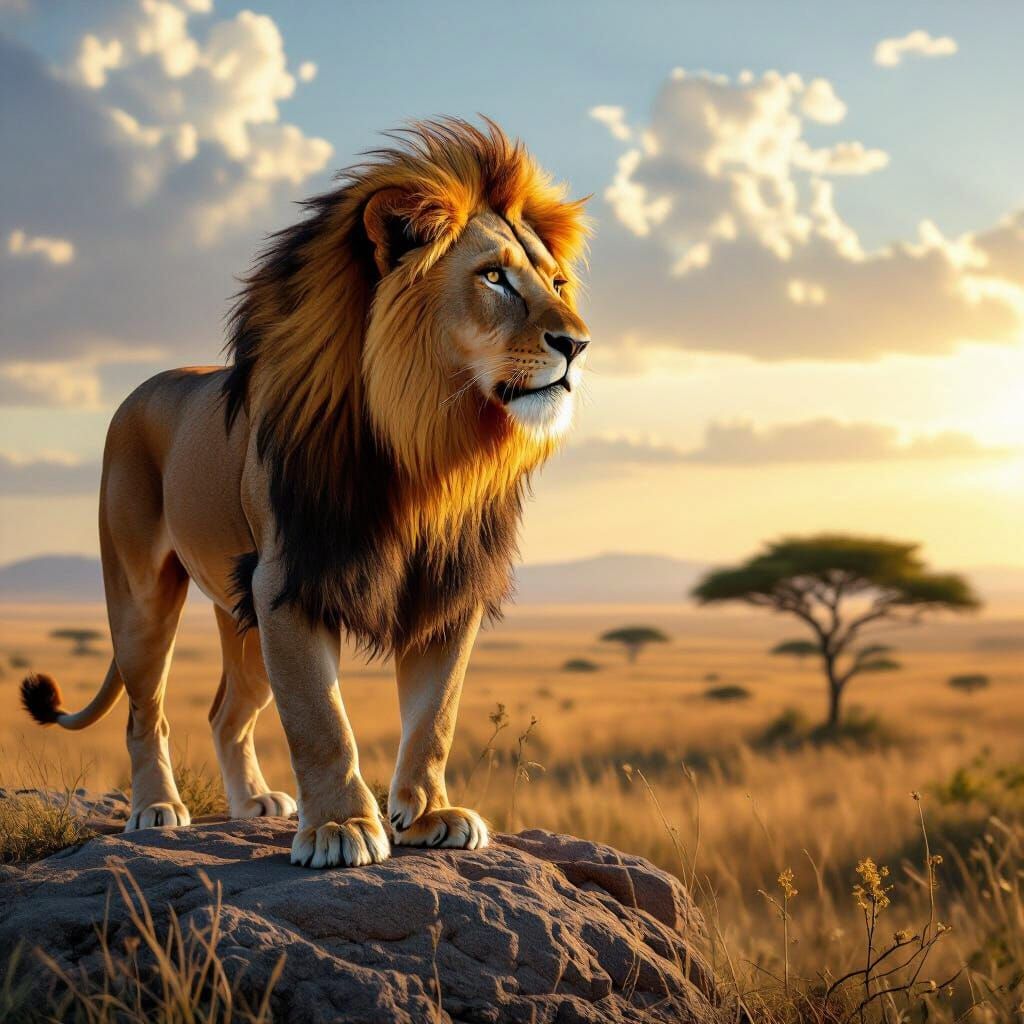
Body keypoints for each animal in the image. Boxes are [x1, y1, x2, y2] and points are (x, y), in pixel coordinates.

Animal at [19, 119, 591, 868]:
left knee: (226, 714)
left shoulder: (446, 589)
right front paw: (341, 827)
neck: (431, 450)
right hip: (144, 594)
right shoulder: (288, 581)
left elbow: (434, 717)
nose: (578, 343)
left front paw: (428, 814)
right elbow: (322, 722)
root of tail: (145, 387)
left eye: (557, 281)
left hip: (240, 616)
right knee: (148, 713)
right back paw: (156, 809)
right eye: (493, 276)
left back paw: (254, 803)